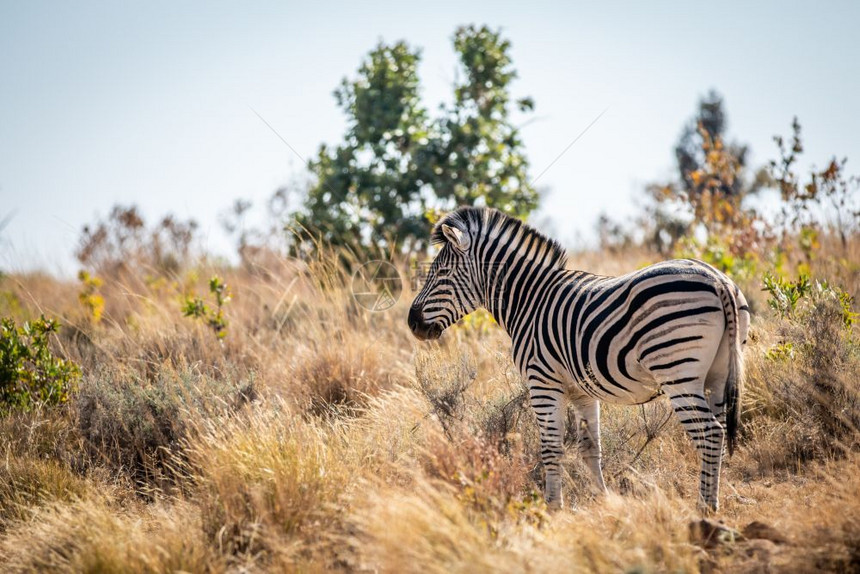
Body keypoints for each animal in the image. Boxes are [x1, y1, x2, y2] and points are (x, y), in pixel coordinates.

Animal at [406, 207, 748, 512]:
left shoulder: (542, 382)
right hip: (718, 374)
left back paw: (704, 508)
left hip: (678, 372)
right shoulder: (582, 391)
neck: (528, 300)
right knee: (717, 432)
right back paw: (713, 499)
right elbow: (591, 449)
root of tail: (718, 280)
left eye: (441, 274)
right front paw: (604, 501)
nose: (412, 323)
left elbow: (550, 448)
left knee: (710, 433)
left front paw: (552, 508)